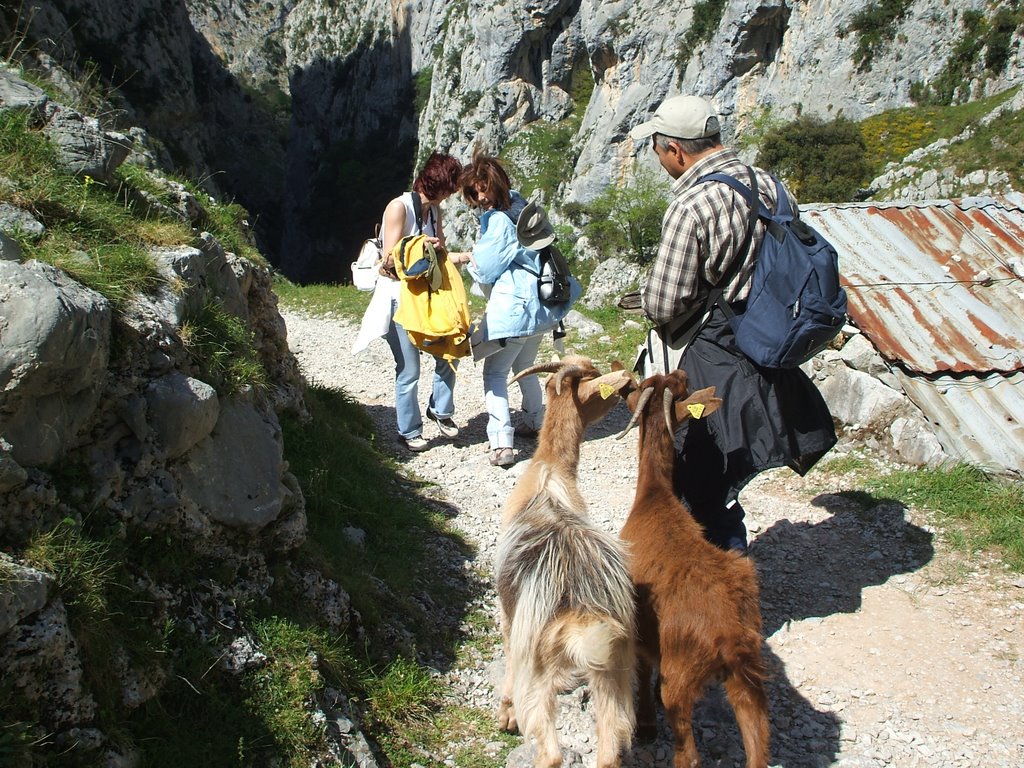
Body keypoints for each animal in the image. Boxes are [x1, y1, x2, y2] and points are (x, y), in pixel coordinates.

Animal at [495, 358, 638, 768]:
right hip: (613, 674)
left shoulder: (512, 617)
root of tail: (583, 614)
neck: (548, 469)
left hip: (540, 669)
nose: (624, 392)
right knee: (610, 747)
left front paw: (505, 715)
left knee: (552, 751)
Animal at [614, 370, 770, 768]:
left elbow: (643, 670)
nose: (681, 372)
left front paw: (646, 725)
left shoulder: (639, 626)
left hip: (682, 676)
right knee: (757, 741)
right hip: (747, 678)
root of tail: (730, 635)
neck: (654, 497)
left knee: (688, 754)